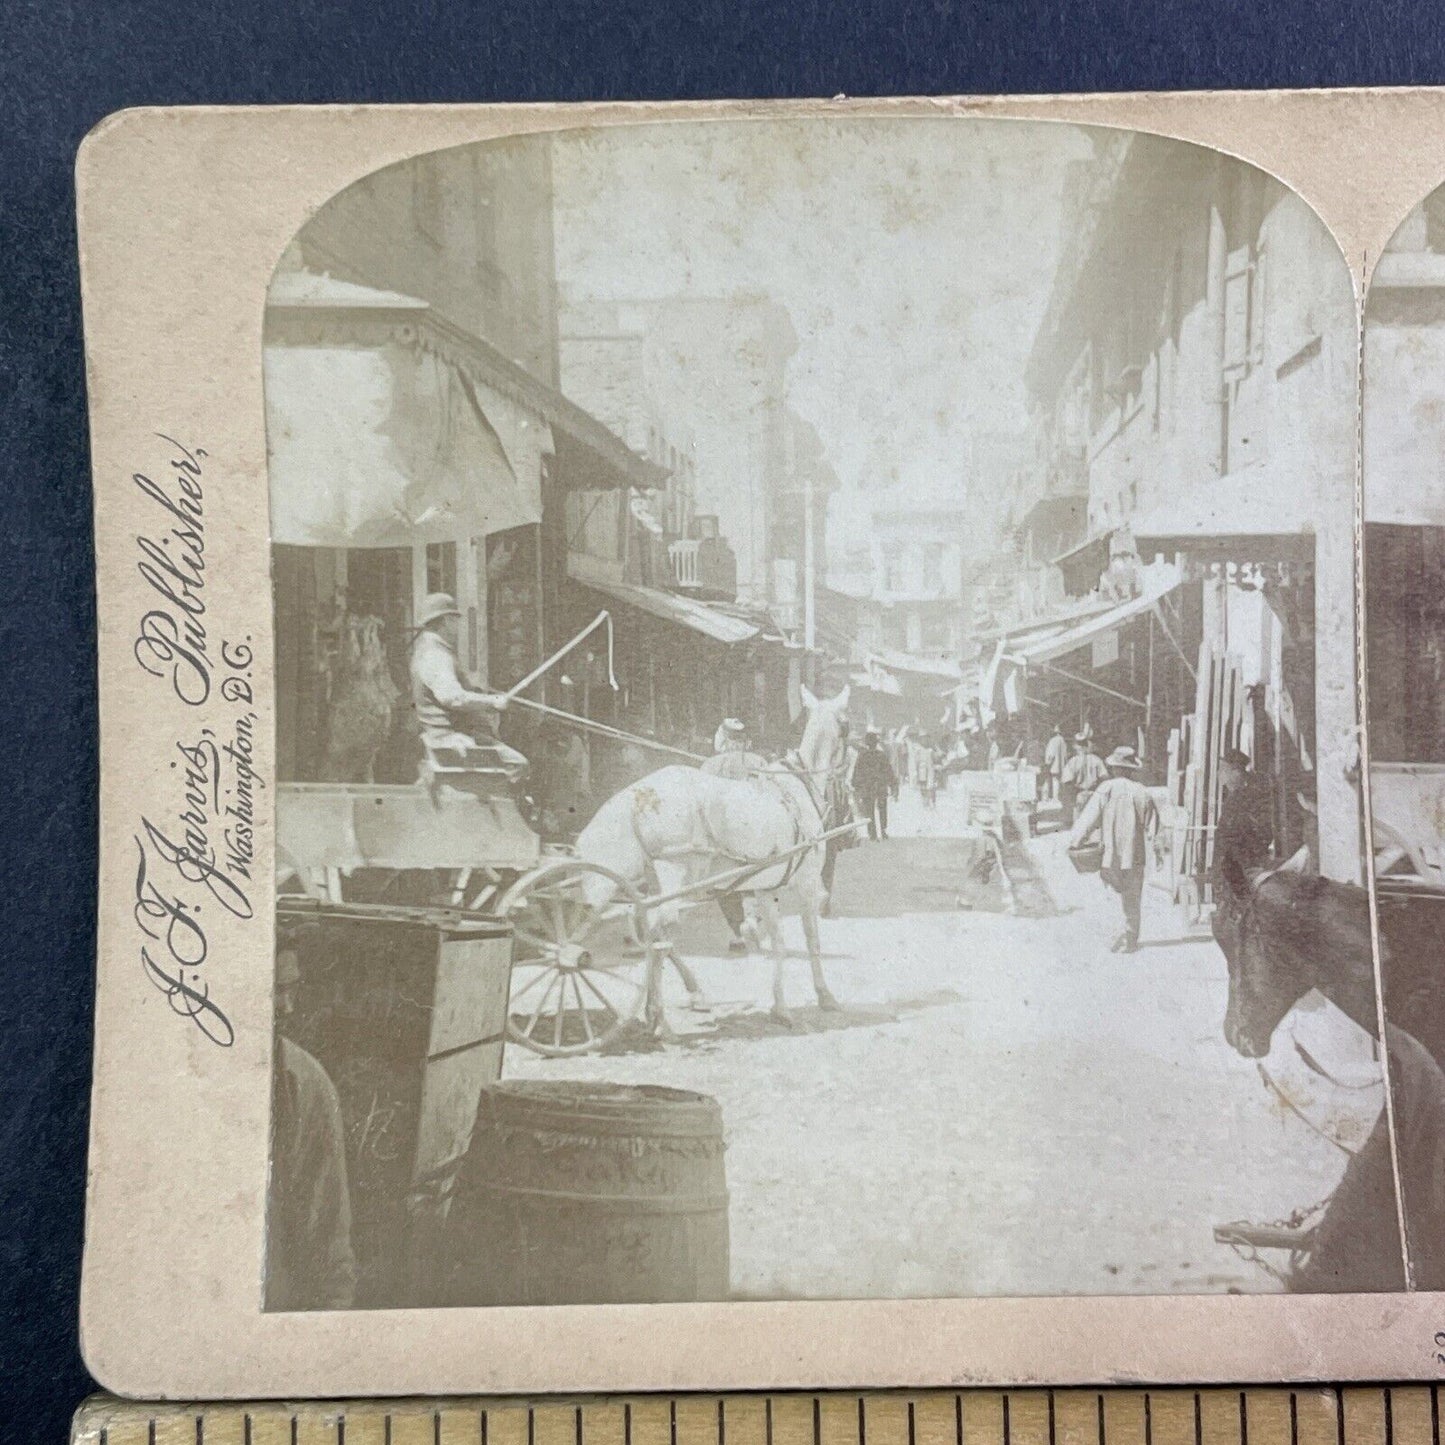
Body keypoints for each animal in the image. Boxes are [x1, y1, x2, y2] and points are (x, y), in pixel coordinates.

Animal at [569, 684, 849, 1028]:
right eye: (847, 726)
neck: (797, 787)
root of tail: (637, 796)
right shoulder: (807, 884)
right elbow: (812, 939)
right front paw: (825, 995)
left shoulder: (767, 888)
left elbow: (779, 945)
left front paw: (780, 1007)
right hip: (675, 871)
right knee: (659, 930)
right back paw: (658, 1016)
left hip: (644, 880)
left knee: (636, 926)